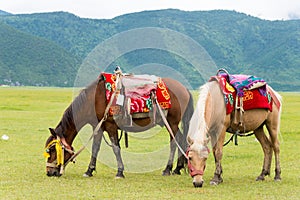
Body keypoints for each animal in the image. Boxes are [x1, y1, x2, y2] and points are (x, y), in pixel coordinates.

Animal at [43, 73, 193, 177]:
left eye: (52, 150)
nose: (49, 172)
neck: (94, 99)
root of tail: (184, 88)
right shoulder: (98, 127)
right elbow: (95, 148)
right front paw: (89, 171)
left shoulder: (111, 126)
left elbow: (116, 148)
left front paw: (120, 172)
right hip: (169, 123)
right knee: (180, 139)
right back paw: (177, 168)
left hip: (172, 122)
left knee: (174, 142)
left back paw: (167, 169)